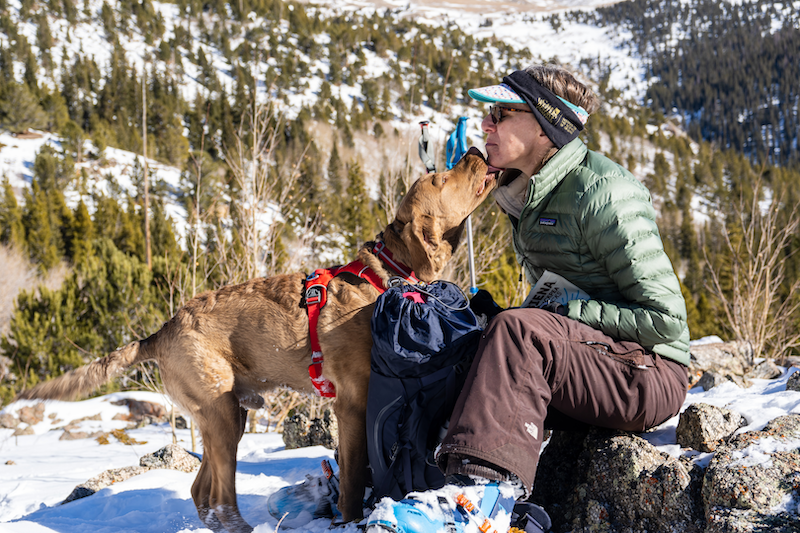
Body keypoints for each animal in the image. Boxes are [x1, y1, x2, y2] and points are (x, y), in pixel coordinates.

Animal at [17, 148, 494, 532]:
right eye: (441, 179)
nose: (474, 150)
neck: (388, 275)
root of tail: (161, 330)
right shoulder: (353, 403)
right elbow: (354, 477)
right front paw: (349, 518)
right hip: (221, 412)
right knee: (218, 496)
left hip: (225, 416)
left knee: (201, 492)